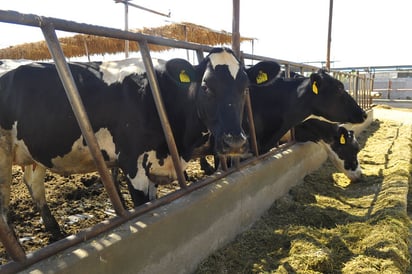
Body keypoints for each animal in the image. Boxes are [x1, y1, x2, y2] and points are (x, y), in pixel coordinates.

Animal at [0, 47, 280, 262]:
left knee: (33, 185)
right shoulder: (133, 166)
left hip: (32, 153)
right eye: (206, 87)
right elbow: (144, 210)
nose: (235, 141)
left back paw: (55, 231)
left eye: (245, 87)